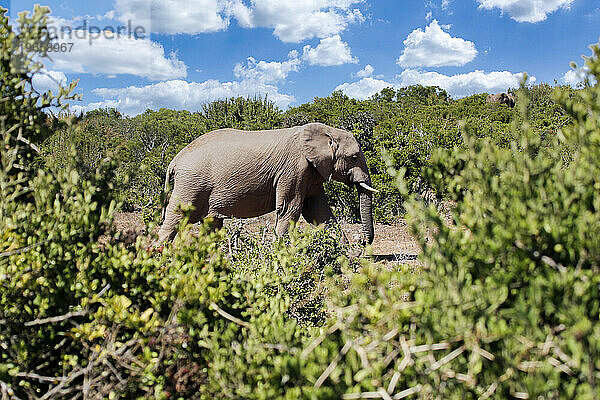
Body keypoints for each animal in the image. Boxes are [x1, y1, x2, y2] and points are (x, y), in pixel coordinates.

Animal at [157, 122, 378, 244]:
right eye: (354, 157)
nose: (361, 242)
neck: (325, 131)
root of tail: (174, 161)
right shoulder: (294, 169)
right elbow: (290, 209)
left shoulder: (311, 172)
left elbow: (319, 212)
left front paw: (347, 257)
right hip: (191, 184)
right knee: (174, 219)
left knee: (211, 224)